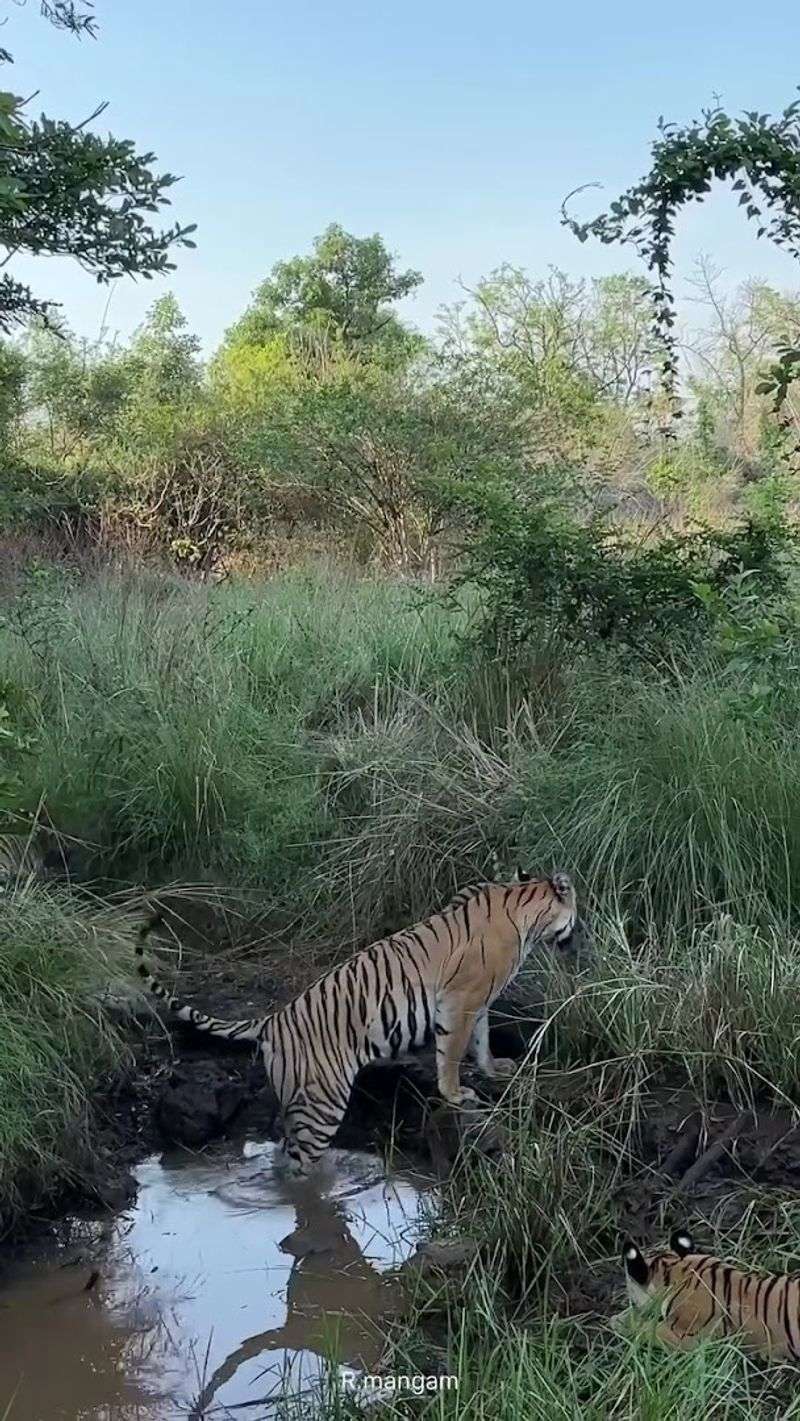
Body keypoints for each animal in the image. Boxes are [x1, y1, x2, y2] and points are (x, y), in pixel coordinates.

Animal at [135, 868, 577, 1176]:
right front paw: (456, 1094)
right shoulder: (461, 999)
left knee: (284, 1150)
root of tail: (270, 1021)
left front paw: (493, 1068)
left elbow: (481, 1040)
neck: (522, 907)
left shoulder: (479, 1001)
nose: (577, 942)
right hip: (322, 1103)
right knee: (300, 1164)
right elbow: (451, 1052)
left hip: (294, 1101)